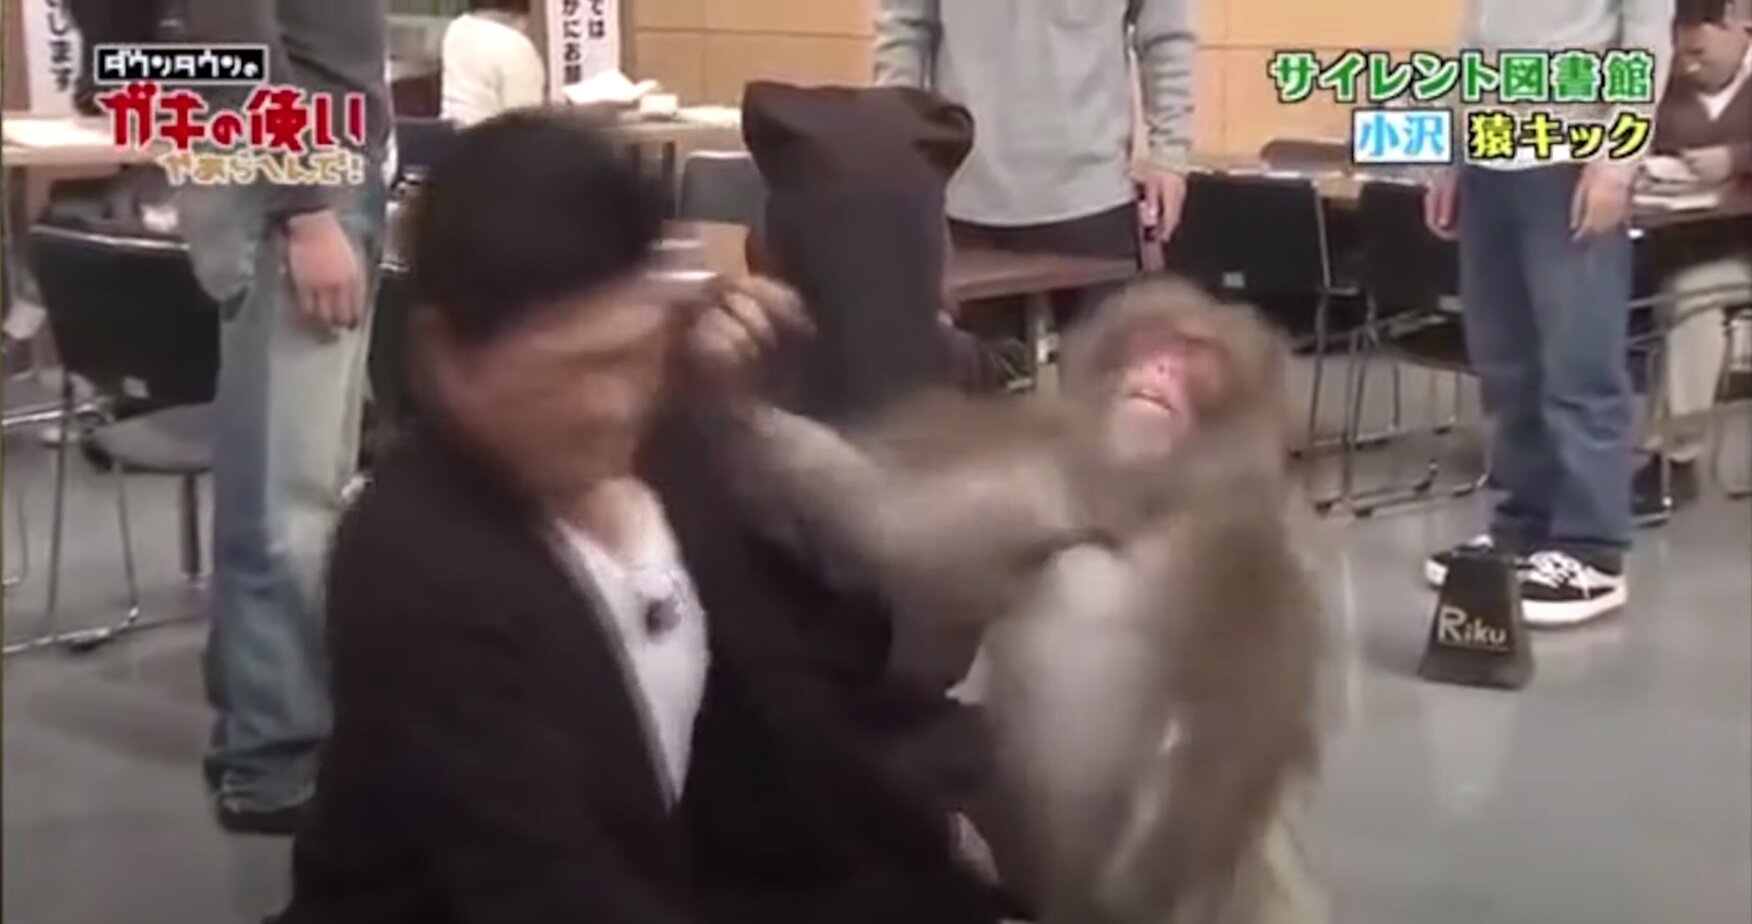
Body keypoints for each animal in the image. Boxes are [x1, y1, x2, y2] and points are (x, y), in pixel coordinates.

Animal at [722, 278, 1326, 924]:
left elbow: (1220, 763)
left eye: (1195, 357)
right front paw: (727, 371)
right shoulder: (1057, 474)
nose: (1160, 368)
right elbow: (876, 523)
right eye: (1154, 343)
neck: (1144, 509)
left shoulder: (1242, 550)